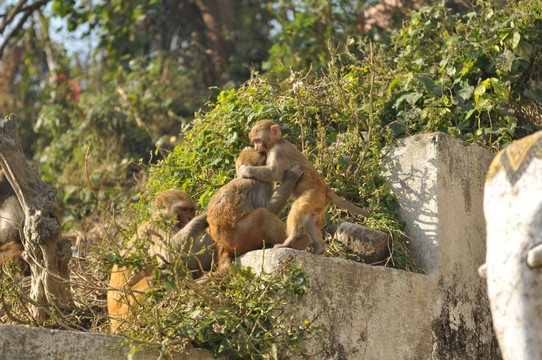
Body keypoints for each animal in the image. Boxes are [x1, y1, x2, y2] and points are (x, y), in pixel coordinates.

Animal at [107, 190, 216, 334]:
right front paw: (202, 218)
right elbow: (169, 258)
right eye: (184, 209)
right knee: (156, 276)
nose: (190, 217)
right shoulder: (159, 229)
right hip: (125, 308)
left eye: (191, 210)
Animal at [240, 119, 372, 255]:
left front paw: (245, 170)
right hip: (321, 204)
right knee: (311, 219)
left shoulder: (277, 152)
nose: (256, 147)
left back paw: (290, 239)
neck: (278, 142)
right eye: (254, 141)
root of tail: (325, 188)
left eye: (258, 140)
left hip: (314, 194)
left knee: (298, 207)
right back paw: (319, 248)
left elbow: (273, 172)